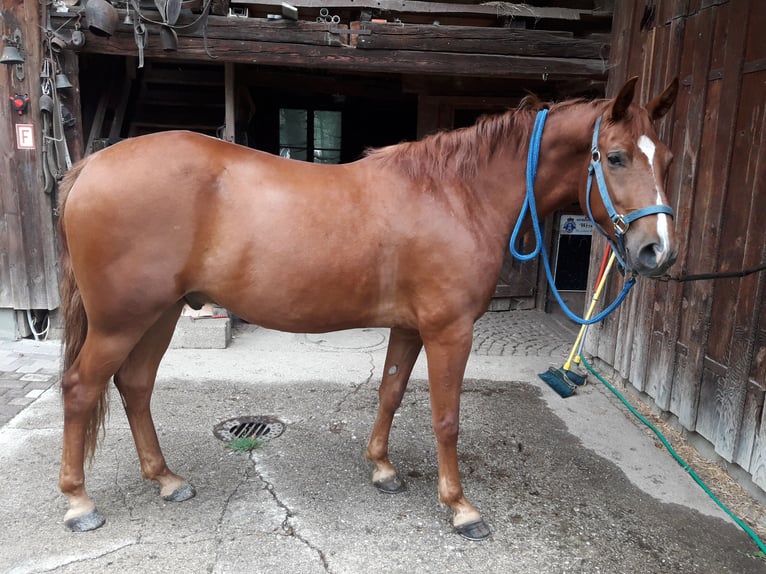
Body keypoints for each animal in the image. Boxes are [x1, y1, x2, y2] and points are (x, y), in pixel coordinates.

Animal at [56, 76, 679, 539]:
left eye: (667, 158)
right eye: (616, 157)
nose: (658, 252)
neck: (455, 194)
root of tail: (91, 165)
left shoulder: (409, 327)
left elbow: (391, 391)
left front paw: (382, 468)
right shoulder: (450, 331)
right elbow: (446, 419)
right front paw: (461, 508)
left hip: (159, 315)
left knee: (135, 385)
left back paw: (165, 479)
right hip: (121, 321)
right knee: (82, 389)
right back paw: (80, 502)